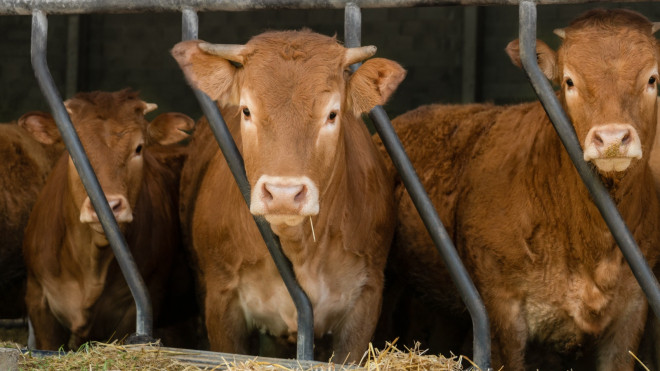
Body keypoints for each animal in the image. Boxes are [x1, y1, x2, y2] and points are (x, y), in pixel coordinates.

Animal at [173, 30, 404, 362]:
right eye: (246, 110)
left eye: (332, 114)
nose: (283, 194)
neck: (300, 248)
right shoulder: (221, 298)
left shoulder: (366, 298)